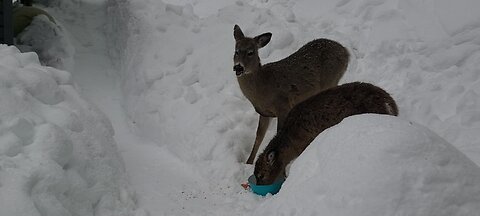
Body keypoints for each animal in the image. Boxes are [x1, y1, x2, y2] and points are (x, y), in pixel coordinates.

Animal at [234, 24, 350, 164]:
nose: (238, 67)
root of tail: (346, 52)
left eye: (251, 52)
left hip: (330, 79)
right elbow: (259, 136)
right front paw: (248, 162)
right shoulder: (264, 112)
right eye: (236, 51)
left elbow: (278, 132)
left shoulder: (283, 105)